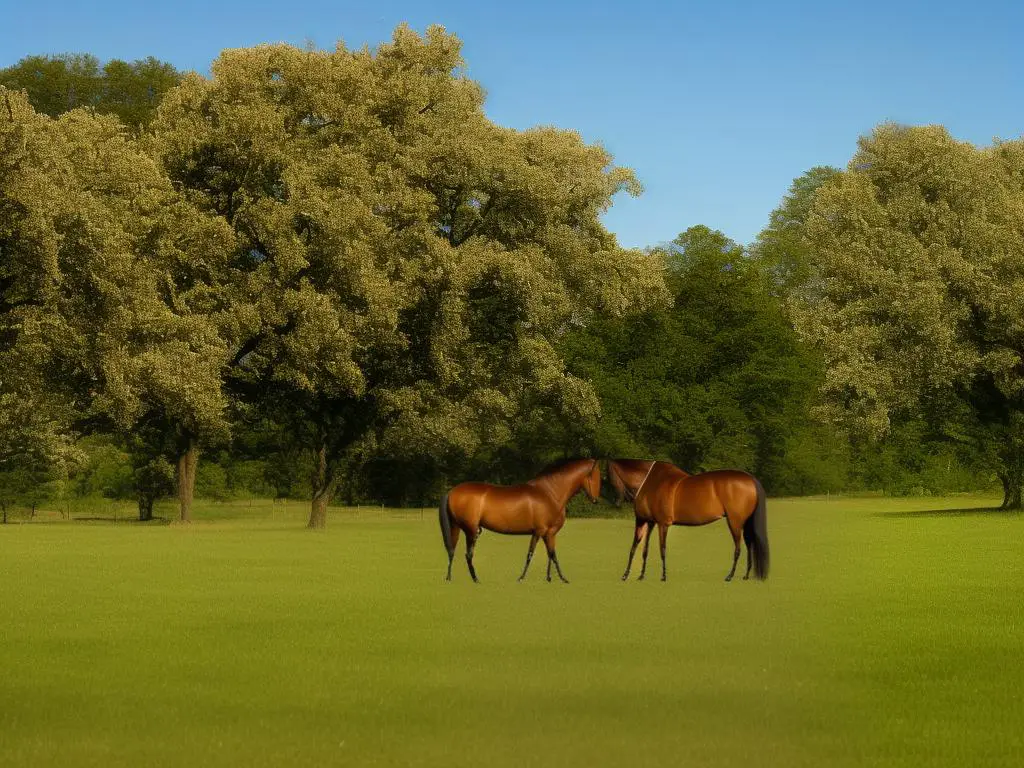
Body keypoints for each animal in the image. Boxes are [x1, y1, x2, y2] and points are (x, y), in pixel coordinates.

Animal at [438, 460, 598, 585]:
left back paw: (449, 577)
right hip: (471, 530)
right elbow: (531, 554)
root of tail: (452, 491)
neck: (549, 493)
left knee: (451, 550)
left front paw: (554, 578)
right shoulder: (539, 531)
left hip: (457, 527)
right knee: (468, 554)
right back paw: (475, 579)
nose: (595, 500)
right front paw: (521, 578)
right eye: (595, 476)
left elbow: (551, 554)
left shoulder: (549, 533)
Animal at [606, 456, 770, 581]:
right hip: (745, 522)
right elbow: (642, 549)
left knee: (738, 547)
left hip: (735, 522)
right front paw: (638, 576)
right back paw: (745, 575)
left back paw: (730, 576)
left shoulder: (659, 523)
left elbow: (660, 549)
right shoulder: (649, 522)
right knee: (749, 544)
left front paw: (662, 576)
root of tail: (751, 480)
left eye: (608, 476)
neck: (647, 482)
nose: (617, 502)